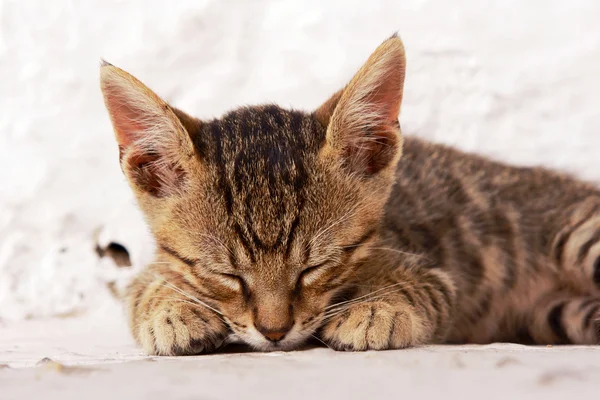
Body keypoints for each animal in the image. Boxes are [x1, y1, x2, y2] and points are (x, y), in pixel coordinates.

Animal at [99, 33, 600, 354]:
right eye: (225, 274)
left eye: (315, 268)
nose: (275, 332)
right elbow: (142, 287)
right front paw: (170, 310)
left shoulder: (430, 268)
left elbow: (423, 287)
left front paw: (377, 308)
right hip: (558, 315)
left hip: (580, 237)